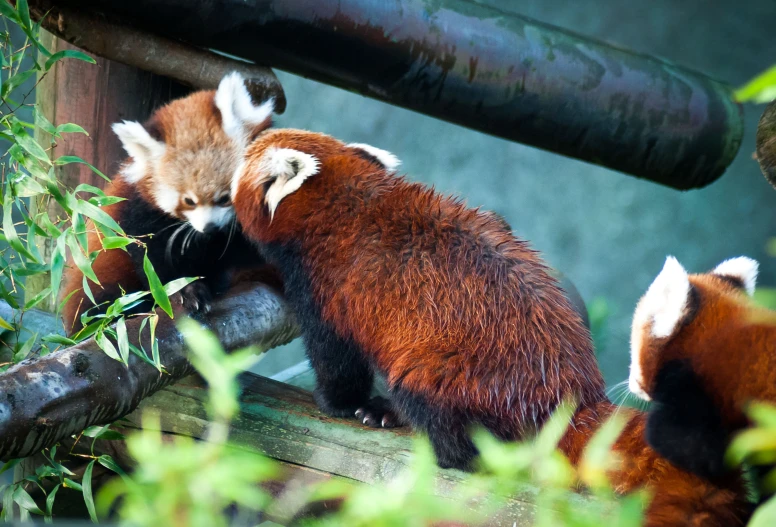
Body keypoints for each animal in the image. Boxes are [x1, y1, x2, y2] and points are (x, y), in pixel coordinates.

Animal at [59, 72, 278, 336]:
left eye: (226, 197)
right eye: (188, 201)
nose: (210, 228)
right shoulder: (140, 212)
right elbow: (154, 260)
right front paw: (187, 290)